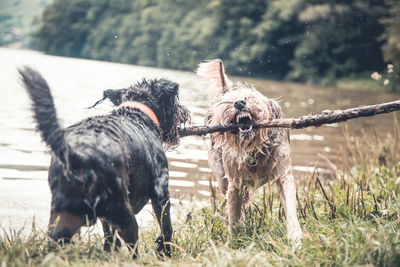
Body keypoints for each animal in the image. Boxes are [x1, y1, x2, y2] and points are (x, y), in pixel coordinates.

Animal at [19, 66, 191, 258]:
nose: (184, 113)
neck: (137, 113)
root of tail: (79, 155)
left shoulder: (106, 220)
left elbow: (110, 237)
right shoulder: (161, 190)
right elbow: (166, 228)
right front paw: (165, 253)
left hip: (61, 218)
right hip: (123, 212)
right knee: (133, 247)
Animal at [195, 59, 302, 244]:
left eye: (251, 97)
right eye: (229, 101)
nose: (239, 103)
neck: (254, 150)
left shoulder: (283, 174)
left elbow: (290, 206)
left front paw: (295, 238)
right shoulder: (234, 183)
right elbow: (233, 214)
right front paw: (233, 241)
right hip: (221, 176)